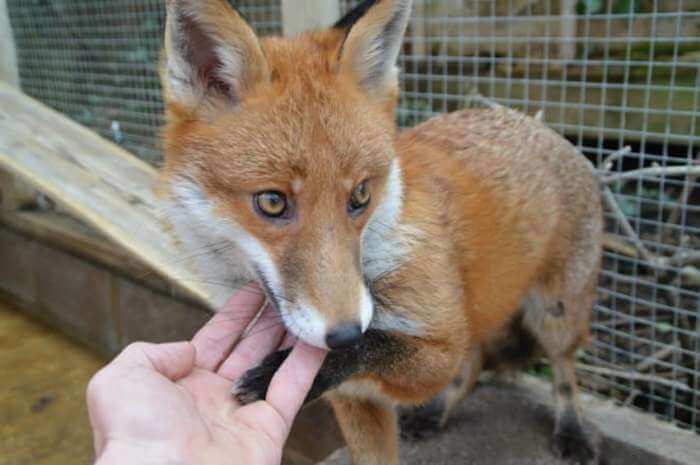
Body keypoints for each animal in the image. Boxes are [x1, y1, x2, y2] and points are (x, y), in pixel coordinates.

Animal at [159, 0, 600, 464]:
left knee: (563, 373)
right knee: (476, 360)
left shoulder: (439, 347)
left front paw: (276, 372)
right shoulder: (357, 399)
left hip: (555, 314)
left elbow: (379, 347)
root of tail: (541, 126)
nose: (345, 332)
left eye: (360, 195)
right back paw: (438, 412)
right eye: (272, 202)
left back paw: (572, 430)